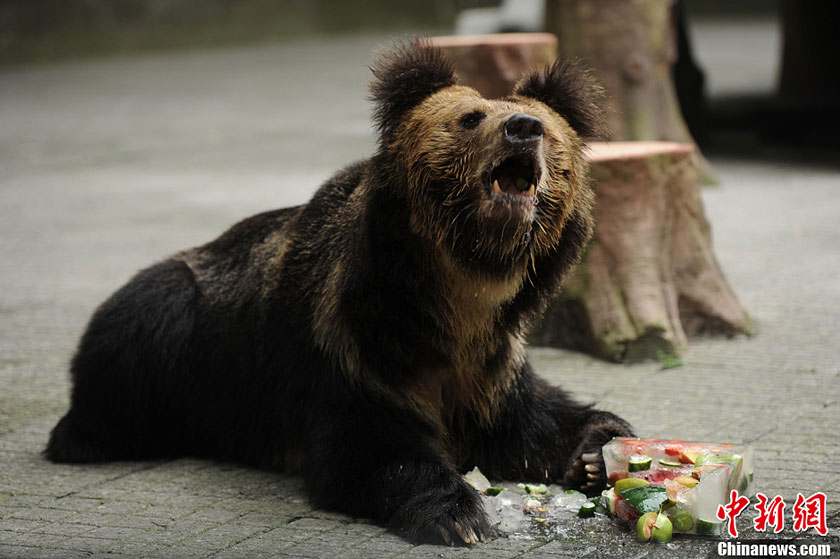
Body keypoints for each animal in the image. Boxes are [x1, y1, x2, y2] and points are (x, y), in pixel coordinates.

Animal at [46, 40, 632, 548]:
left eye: (547, 129)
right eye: (470, 118)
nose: (522, 129)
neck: (455, 297)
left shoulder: (490, 365)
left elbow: (532, 422)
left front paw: (596, 448)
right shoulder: (353, 347)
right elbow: (369, 450)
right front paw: (457, 514)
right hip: (171, 330)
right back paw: (85, 436)